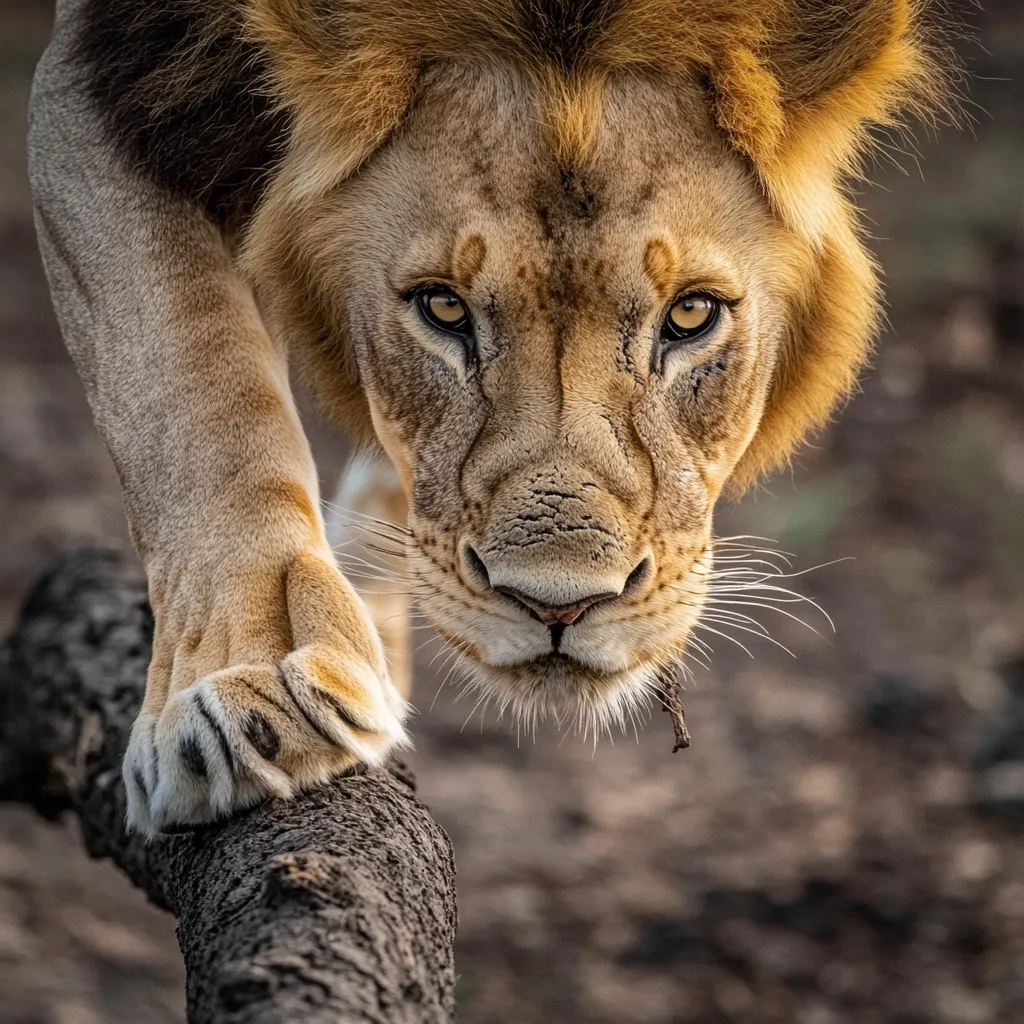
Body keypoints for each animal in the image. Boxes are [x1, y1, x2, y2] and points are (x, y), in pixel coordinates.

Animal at [28, 0, 955, 833]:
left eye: (690, 316)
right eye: (443, 308)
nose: (557, 608)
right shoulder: (98, 74)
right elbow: (191, 379)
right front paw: (246, 689)